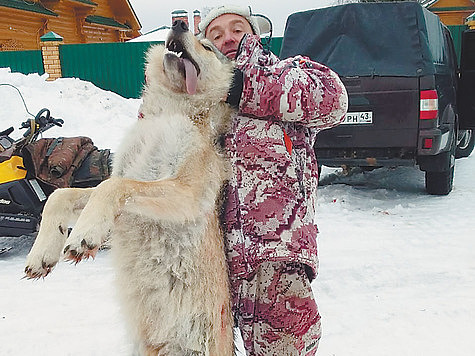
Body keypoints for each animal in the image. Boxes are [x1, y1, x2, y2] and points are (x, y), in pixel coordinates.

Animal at [24, 22, 236, 356]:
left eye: (206, 46)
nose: (179, 24)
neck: (168, 112)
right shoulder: (122, 179)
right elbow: (60, 196)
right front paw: (41, 255)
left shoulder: (186, 193)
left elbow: (113, 187)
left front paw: (85, 235)